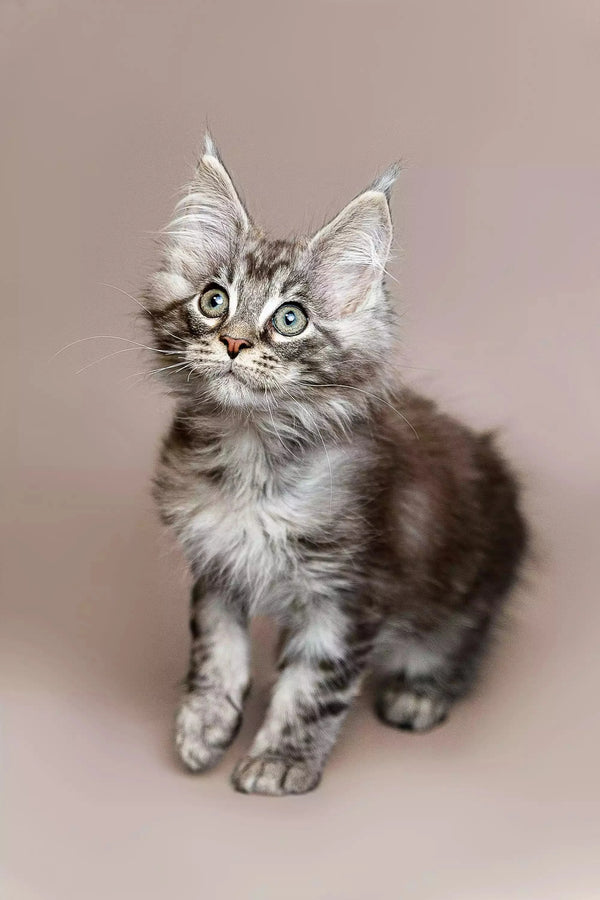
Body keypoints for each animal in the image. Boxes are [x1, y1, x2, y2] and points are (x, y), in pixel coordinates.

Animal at [143, 134, 528, 796]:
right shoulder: (216, 562)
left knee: (459, 642)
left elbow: (312, 687)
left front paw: (280, 761)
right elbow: (214, 649)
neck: (252, 462)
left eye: (290, 318)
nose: (234, 342)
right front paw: (204, 725)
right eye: (213, 301)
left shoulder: (350, 592)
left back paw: (421, 694)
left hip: (467, 586)